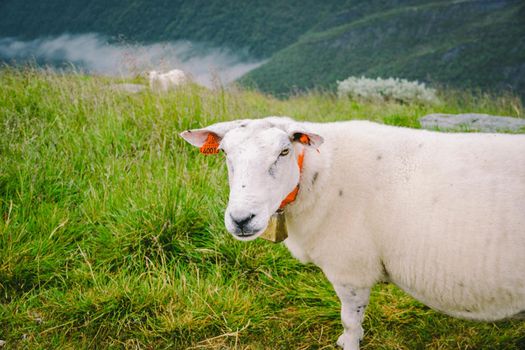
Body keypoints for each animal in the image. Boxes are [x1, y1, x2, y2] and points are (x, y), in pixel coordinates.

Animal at [179, 116, 524, 348]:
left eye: (284, 152)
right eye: (225, 154)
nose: (241, 219)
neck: (317, 175)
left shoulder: (350, 269)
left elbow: (350, 320)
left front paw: (348, 342)